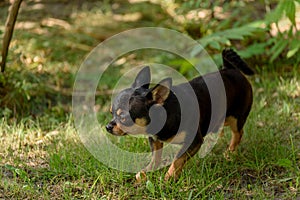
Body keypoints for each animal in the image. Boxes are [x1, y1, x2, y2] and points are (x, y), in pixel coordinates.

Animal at [105, 48, 253, 181]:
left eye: (123, 117)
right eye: (111, 113)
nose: (108, 127)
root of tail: (229, 68)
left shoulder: (193, 142)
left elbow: (177, 159)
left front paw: (169, 177)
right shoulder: (155, 140)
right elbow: (155, 157)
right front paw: (147, 171)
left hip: (236, 118)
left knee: (238, 133)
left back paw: (230, 153)